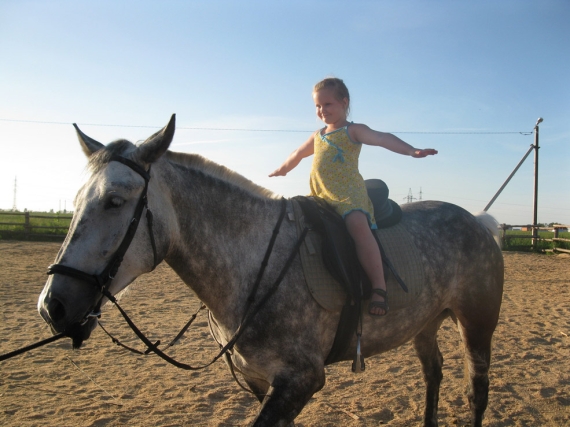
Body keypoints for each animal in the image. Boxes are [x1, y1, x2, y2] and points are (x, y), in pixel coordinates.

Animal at [36, 114, 502, 427]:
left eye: (114, 201)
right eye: (75, 201)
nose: (52, 306)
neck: (252, 263)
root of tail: (478, 223)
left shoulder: (300, 380)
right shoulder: (259, 379)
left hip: (477, 324)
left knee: (476, 391)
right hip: (424, 323)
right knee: (434, 373)